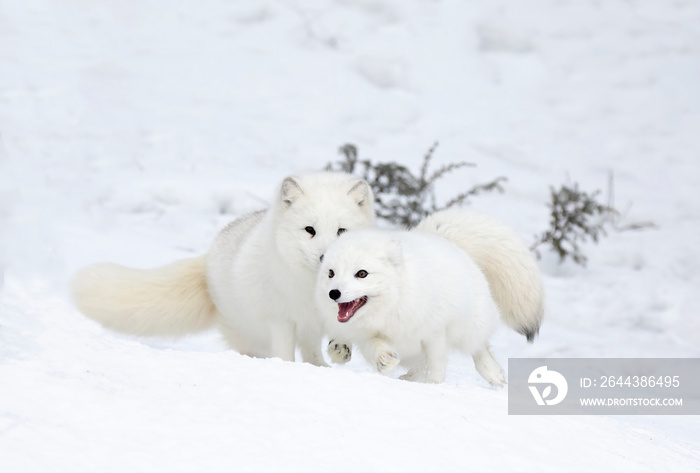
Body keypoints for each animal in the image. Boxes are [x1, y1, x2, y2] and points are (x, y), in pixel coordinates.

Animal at [73, 171, 374, 364]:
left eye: (342, 231)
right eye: (310, 230)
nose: (326, 258)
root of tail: (210, 255)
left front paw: (339, 349)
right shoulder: (280, 320)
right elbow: (285, 354)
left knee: (312, 353)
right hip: (249, 335)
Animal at [318, 227, 508, 386]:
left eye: (362, 273)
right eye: (331, 273)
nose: (333, 293)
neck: (390, 307)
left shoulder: (435, 331)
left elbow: (436, 363)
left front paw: (433, 384)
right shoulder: (365, 336)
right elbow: (376, 347)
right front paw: (386, 361)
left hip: (470, 327)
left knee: (479, 346)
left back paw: (493, 373)